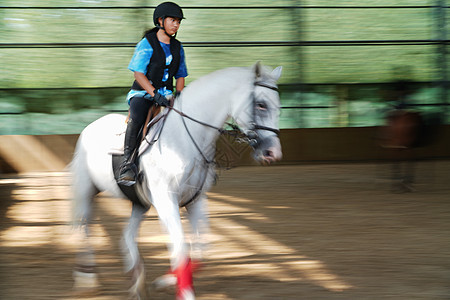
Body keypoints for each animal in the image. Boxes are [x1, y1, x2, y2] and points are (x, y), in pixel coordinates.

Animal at [70, 62, 282, 298]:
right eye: (261, 105)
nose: (273, 152)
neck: (186, 137)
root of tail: (89, 127)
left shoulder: (195, 200)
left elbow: (200, 250)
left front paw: (165, 281)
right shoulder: (166, 201)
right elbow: (180, 248)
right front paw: (183, 291)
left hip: (139, 203)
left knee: (126, 235)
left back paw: (137, 281)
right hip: (86, 190)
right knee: (84, 225)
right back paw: (86, 278)